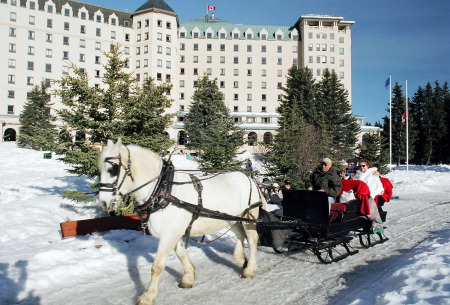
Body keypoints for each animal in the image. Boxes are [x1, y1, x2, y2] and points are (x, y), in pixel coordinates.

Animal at [98, 138, 264, 304]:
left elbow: (157, 266)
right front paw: (189, 277)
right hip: (230, 219)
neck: (162, 190)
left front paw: (148, 296)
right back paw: (241, 260)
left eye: (113, 169)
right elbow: (180, 254)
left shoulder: (169, 235)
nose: (103, 202)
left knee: (252, 239)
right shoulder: (174, 232)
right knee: (240, 235)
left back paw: (249, 269)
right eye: (100, 169)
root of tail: (248, 177)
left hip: (248, 217)